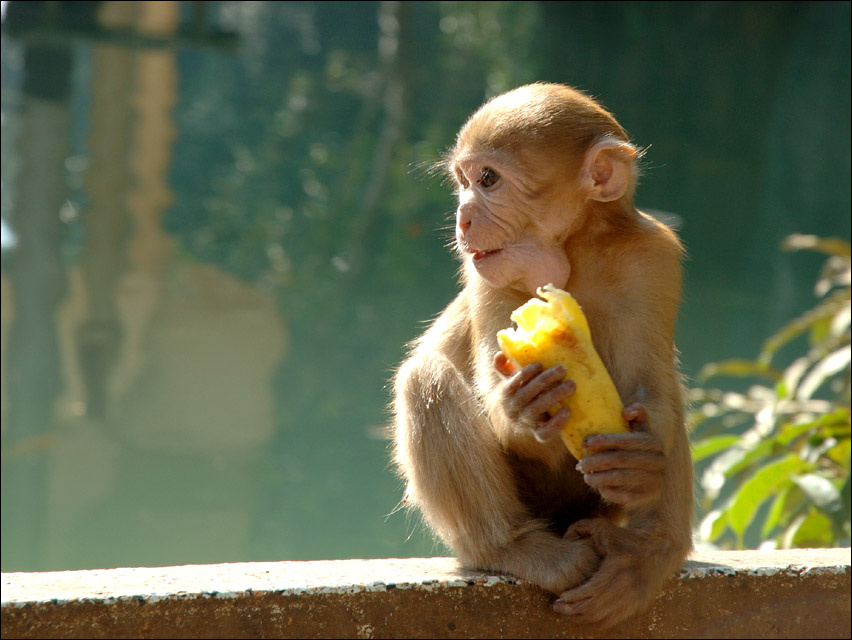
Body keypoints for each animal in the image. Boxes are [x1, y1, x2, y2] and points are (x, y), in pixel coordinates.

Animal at [392, 83, 693, 629]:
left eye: (488, 180)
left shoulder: (652, 259)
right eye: (463, 182)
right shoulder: (486, 276)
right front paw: (524, 408)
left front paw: (639, 467)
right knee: (425, 376)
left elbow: (651, 389)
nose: (463, 216)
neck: (572, 250)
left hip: (593, 507)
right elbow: (496, 401)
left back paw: (646, 553)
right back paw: (514, 549)